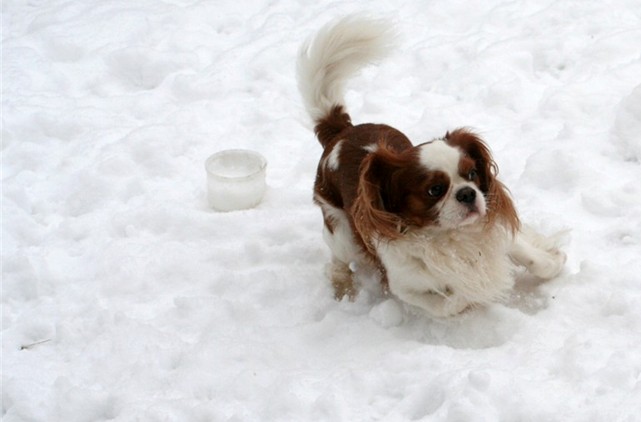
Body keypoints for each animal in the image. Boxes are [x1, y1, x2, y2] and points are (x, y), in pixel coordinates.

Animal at [296, 15, 564, 316]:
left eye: (472, 174)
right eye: (435, 190)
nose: (468, 193)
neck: (451, 238)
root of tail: (341, 131)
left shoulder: (494, 229)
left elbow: (530, 255)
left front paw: (554, 260)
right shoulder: (404, 285)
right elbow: (451, 301)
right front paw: (473, 293)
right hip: (341, 234)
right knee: (337, 262)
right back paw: (344, 289)